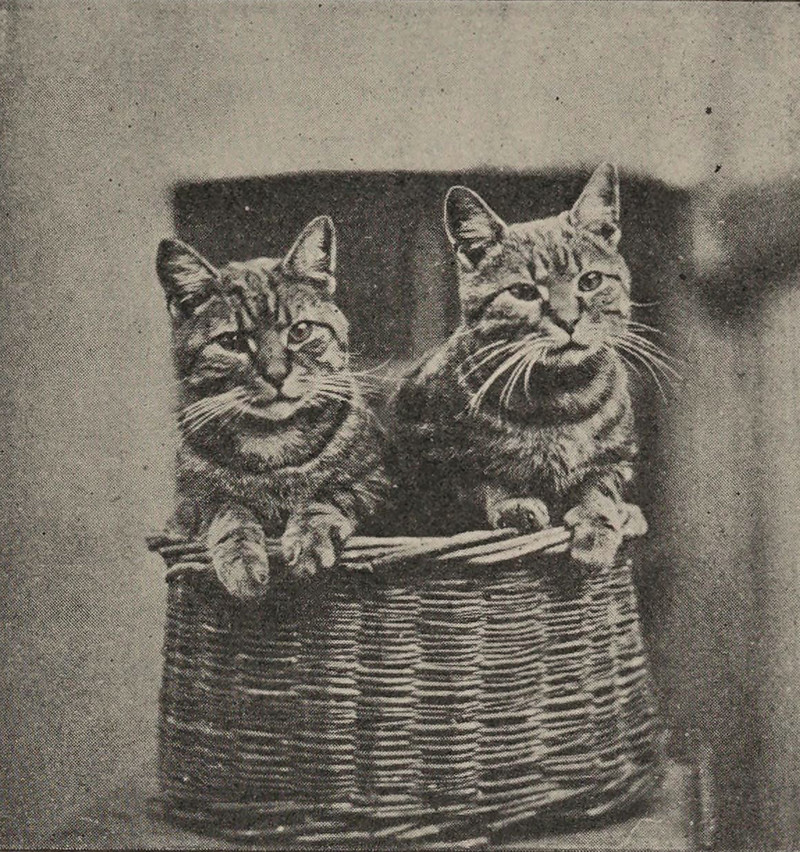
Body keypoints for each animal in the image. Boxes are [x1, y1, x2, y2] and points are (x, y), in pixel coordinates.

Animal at [157, 215, 389, 598]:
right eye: (232, 341)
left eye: (301, 331)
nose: (277, 374)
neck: (273, 444)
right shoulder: (185, 509)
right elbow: (227, 509)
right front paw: (241, 558)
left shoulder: (377, 483)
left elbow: (331, 495)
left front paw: (309, 537)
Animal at [389, 164, 647, 568]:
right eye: (523, 292)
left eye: (590, 281)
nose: (568, 320)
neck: (558, 395)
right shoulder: (431, 462)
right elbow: (480, 482)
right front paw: (513, 504)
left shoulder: (616, 458)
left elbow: (599, 489)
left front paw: (597, 529)